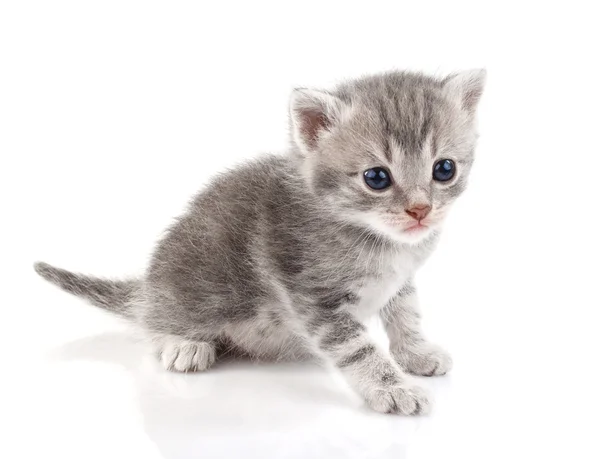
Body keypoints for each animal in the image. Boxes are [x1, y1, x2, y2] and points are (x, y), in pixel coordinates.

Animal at [35, 69, 486, 416]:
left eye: (444, 169)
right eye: (376, 177)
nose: (420, 210)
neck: (372, 235)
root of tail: (147, 286)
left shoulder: (400, 279)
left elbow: (406, 312)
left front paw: (415, 353)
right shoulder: (313, 295)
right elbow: (358, 349)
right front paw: (392, 388)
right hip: (191, 291)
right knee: (152, 319)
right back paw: (183, 343)